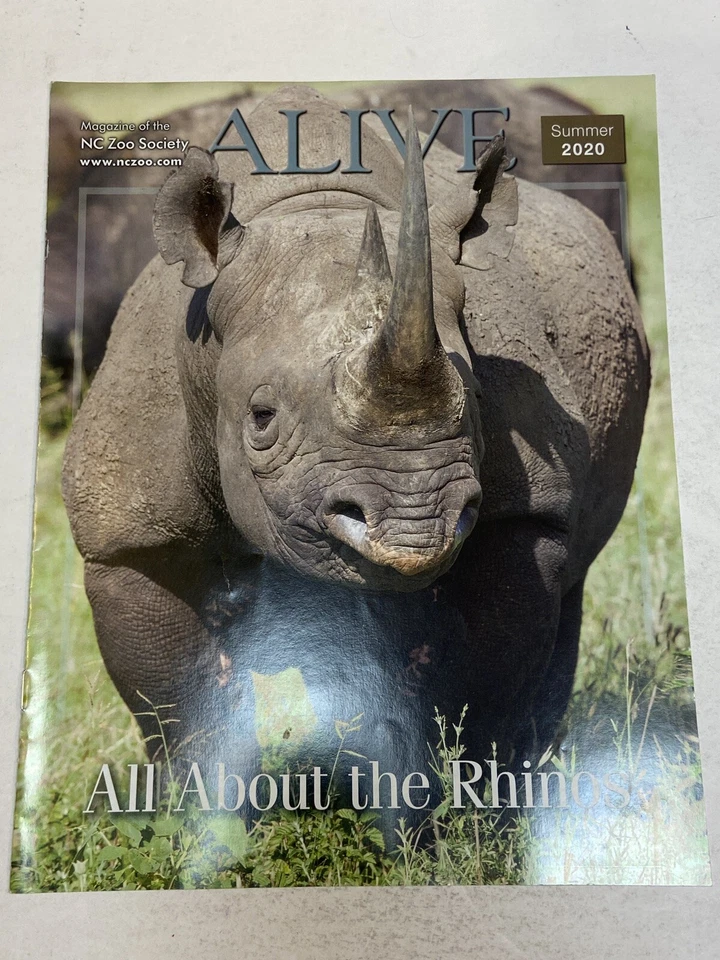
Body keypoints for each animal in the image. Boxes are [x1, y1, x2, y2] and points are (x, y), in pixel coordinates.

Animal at [63, 86, 649, 817]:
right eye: (261, 419)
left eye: (477, 398)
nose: (413, 526)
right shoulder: (130, 537)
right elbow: (174, 707)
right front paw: (197, 820)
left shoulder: (524, 515)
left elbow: (484, 691)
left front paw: (464, 821)